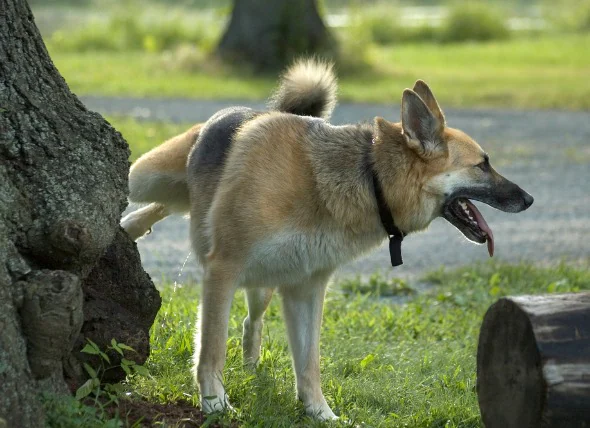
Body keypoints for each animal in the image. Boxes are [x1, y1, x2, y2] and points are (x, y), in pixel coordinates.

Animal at [121, 59, 536, 422]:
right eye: (482, 165)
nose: (529, 199)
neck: (368, 177)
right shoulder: (222, 270)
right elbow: (211, 349)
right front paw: (215, 405)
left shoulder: (305, 288)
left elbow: (308, 363)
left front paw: (320, 414)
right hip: (148, 177)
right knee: (150, 195)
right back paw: (129, 223)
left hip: (263, 284)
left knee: (250, 321)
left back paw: (252, 367)